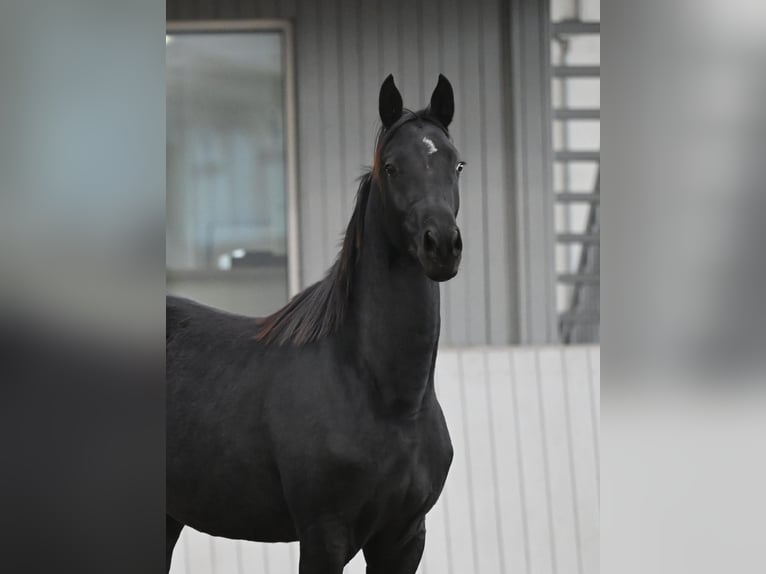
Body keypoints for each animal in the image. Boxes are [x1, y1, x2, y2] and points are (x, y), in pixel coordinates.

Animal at [167, 76, 464, 574]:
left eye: (457, 163)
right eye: (392, 167)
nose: (441, 244)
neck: (387, 399)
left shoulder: (404, 538)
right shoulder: (324, 534)